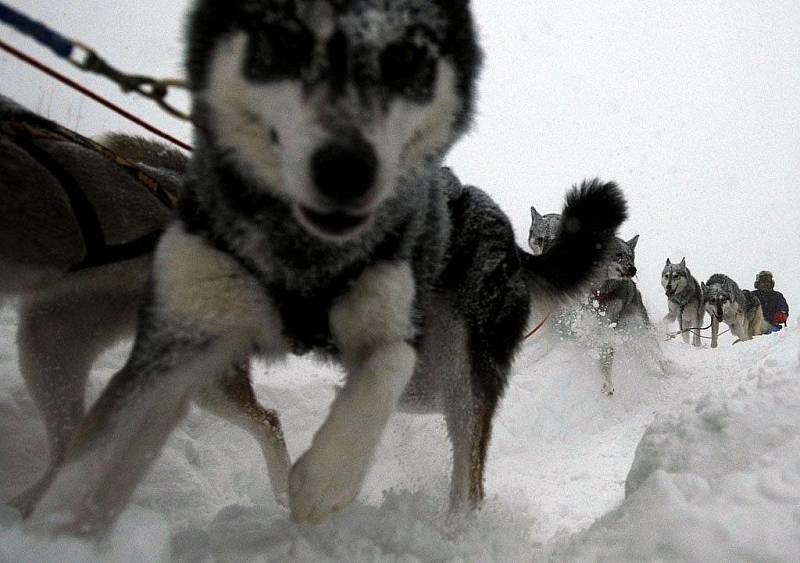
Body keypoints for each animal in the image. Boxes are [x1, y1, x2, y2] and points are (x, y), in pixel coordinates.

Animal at [31, 0, 628, 532]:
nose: (347, 162)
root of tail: (509, 236)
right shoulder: (179, 336)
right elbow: (97, 448)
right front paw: (50, 525)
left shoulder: (387, 327)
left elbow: (380, 374)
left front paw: (322, 483)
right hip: (426, 383)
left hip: (462, 365)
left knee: (469, 472)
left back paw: (456, 534)